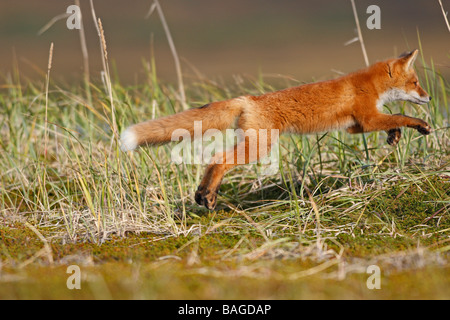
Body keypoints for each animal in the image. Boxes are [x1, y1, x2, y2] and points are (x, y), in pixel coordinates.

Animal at [121, 49, 430, 210]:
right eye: (415, 83)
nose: (428, 98)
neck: (369, 85)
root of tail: (249, 99)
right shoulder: (366, 118)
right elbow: (400, 114)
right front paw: (420, 125)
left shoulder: (354, 127)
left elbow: (392, 118)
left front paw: (394, 135)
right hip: (259, 147)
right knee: (219, 160)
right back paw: (207, 195)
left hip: (254, 143)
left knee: (213, 160)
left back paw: (201, 194)